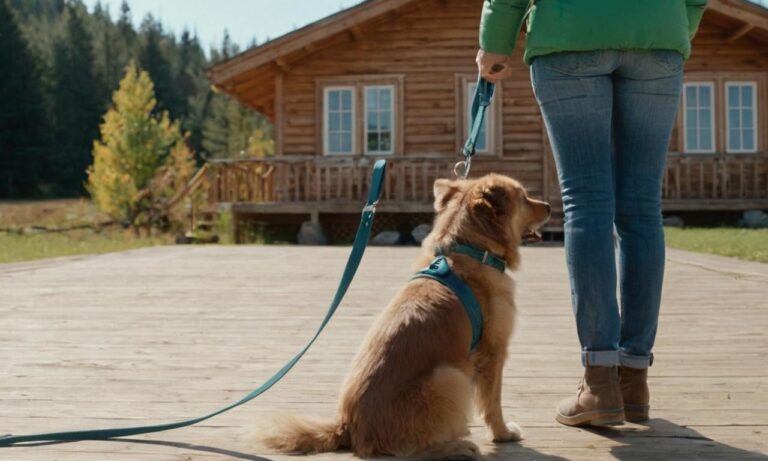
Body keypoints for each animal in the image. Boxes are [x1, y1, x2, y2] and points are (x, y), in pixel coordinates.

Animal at [264, 174, 552, 458]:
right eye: (524, 197)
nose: (550, 206)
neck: (470, 250)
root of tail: (347, 428)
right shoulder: (493, 353)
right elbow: (493, 403)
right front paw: (503, 434)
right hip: (449, 376)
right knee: (411, 451)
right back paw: (458, 447)